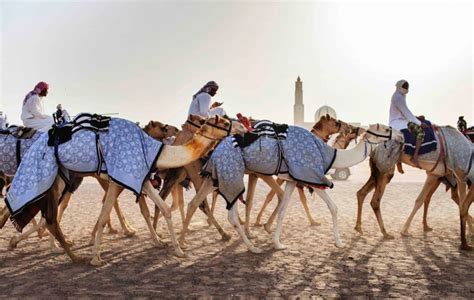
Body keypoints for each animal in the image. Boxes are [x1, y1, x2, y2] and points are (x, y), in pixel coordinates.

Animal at [177, 122, 396, 253]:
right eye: (384, 129)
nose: (397, 133)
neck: (329, 154)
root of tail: (213, 151)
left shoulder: (292, 179)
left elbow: (283, 209)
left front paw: (278, 243)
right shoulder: (311, 175)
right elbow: (333, 207)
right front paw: (339, 242)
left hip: (214, 177)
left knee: (195, 202)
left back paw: (182, 245)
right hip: (232, 174)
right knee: (230, 213)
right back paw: (252, 247)